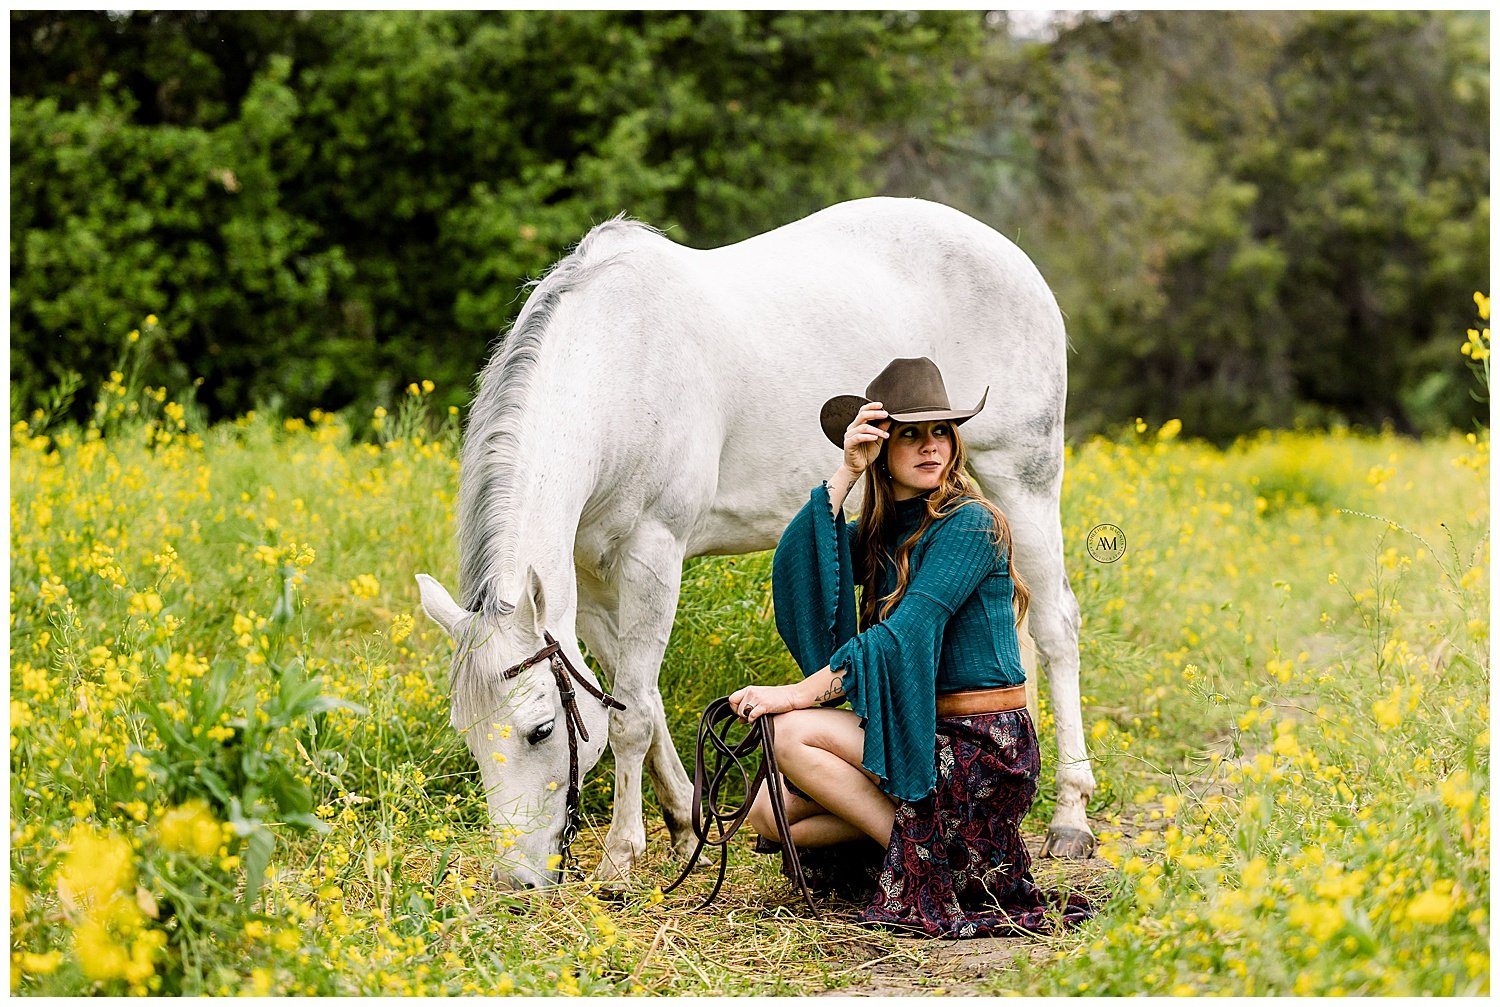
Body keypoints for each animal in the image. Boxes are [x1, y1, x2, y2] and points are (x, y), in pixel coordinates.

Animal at [417, 196, 1098, 888]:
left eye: (540, 730)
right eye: (467, 735)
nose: (516, 884)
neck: (618, 368)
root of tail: (1010, 256)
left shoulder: (652, 554)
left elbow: (631, 718)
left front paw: (620, 859)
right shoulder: (587, 582)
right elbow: (638, 697)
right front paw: (684, 824)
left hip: (1024, 479)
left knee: (1055, 627)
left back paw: (1070, 816)